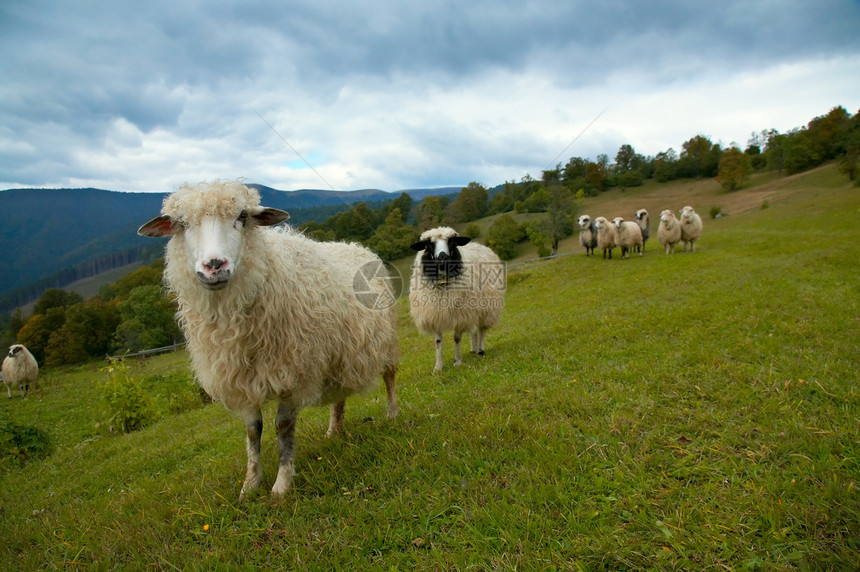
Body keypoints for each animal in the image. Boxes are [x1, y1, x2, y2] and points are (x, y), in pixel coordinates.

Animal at [138, 181, 400, 498]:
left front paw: (281, 486)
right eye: (182, 223)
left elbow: (283, 426)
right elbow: (253, 430)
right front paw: (249, 486)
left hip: (386, 341)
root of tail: (354, 246)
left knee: (389, 377)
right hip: (338, 351)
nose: (214, 265)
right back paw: (334, 430)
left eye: (242, 216)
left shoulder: (291, 369)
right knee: (339, 393)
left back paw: (392, 413)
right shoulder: (242, 376)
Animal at [408, 226, 504, 374]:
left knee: (481, 329)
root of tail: (480, 245)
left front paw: (457, 361)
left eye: (452, 242)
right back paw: (473, 349)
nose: (443, 258)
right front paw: (438, 367)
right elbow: (438, 341)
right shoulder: (436, 313)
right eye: (428, 245)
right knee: (473, 330)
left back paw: (480, 350)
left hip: (487, 307)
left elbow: (457, 338)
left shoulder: (460, 313)